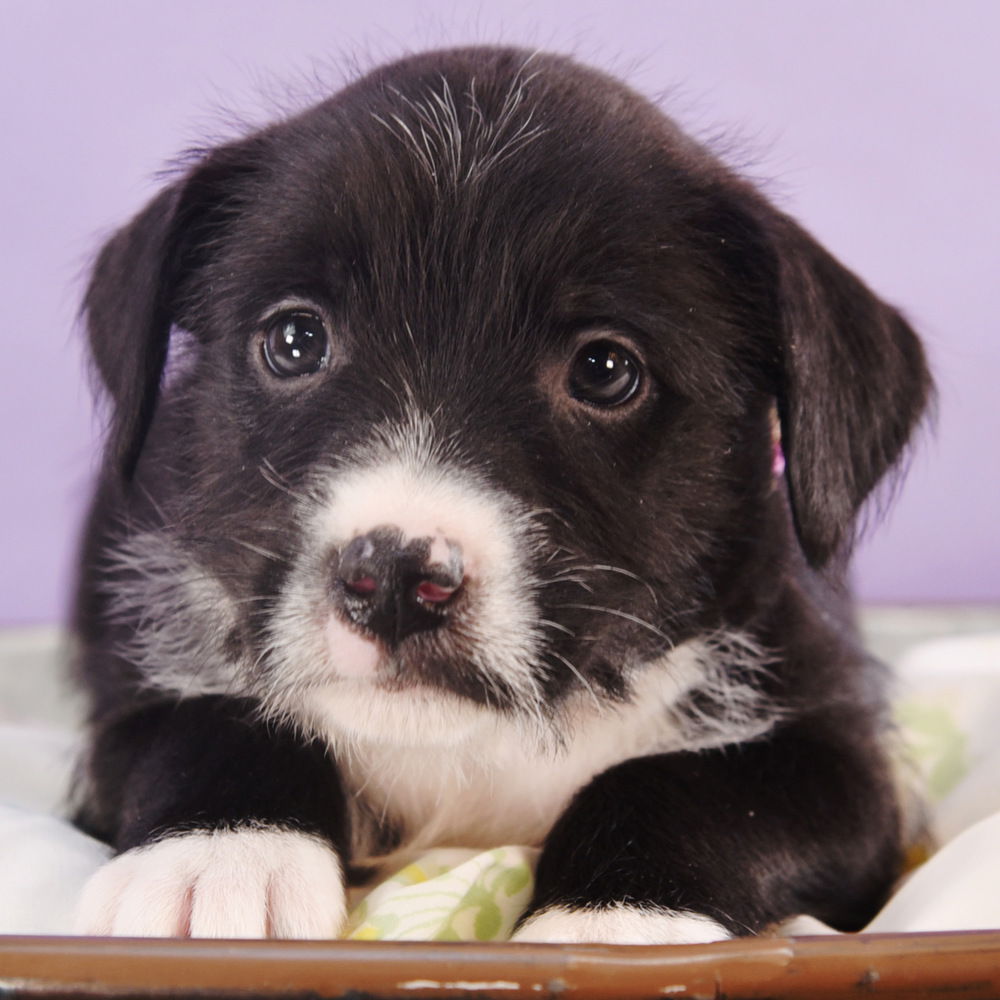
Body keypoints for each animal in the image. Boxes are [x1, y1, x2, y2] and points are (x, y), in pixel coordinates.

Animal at [70, 43, 928, 940]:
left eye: (605, 370)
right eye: (295, 339)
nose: (396, 581)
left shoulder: (847, 764)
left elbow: (684, 784)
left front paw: (609, 924)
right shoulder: (127, 698)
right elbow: (208, 720)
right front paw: (218, 857)